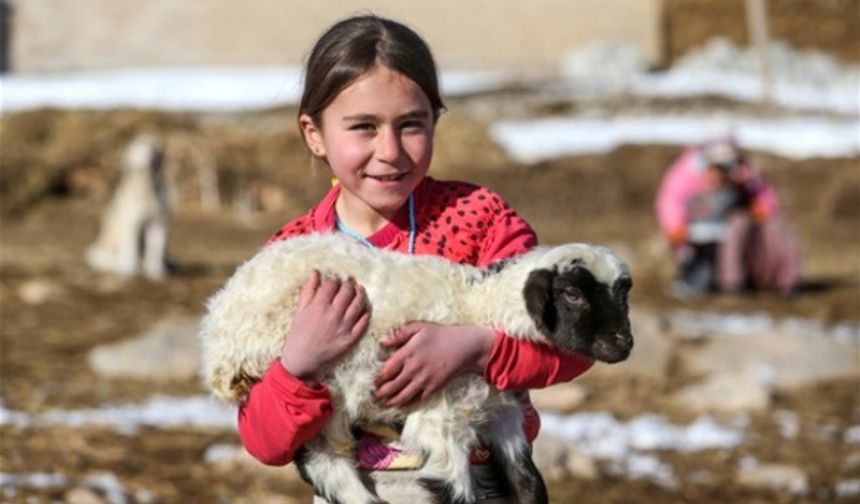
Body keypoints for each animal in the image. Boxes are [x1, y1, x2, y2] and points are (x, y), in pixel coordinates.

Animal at [200, 235, 632, 504]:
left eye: (623, 293)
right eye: (571, 294)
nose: (623, 344)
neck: (479, 306)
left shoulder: (504, 416)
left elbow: (527, 480)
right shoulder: (441, 421)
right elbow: (454, 490)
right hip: (299, 374)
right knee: (324, 461)